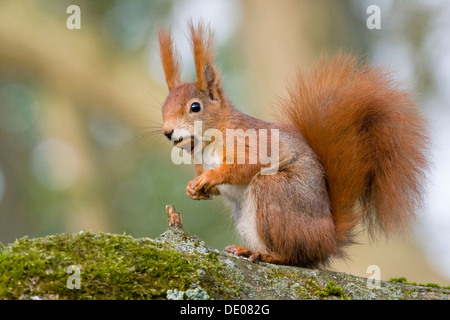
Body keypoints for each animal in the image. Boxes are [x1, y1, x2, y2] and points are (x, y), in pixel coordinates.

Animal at [157, 21, 428, 268]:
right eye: (163, 108)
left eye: (195, 107)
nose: (168, 132)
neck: (209, 142)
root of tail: (328, 239)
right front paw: (193, 188)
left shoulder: (249, 142)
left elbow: (246, 166)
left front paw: (210, 177)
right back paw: (248, 251)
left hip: (275, 193)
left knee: (294, 256)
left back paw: (267, 255)